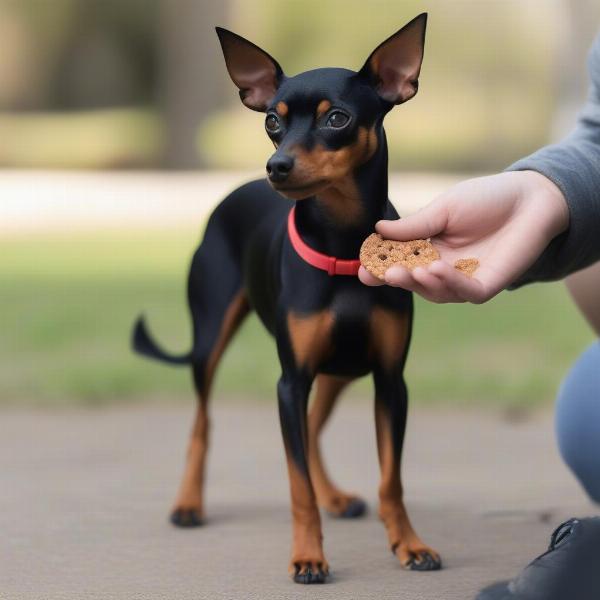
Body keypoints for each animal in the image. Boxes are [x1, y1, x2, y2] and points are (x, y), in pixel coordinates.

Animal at [132, 14, 440, 584]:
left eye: (337, 118)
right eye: (272, 122)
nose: (276, 165)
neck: (342, 246)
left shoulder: (390, 382)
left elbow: (391, 479)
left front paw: (409, 544)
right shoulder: (289, 381)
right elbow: (297, 485)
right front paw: (308, 556)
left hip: (339, 369)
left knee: (313, 427)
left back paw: (336, 496)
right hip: (211, 341)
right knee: (203, 424)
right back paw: (188, 504)